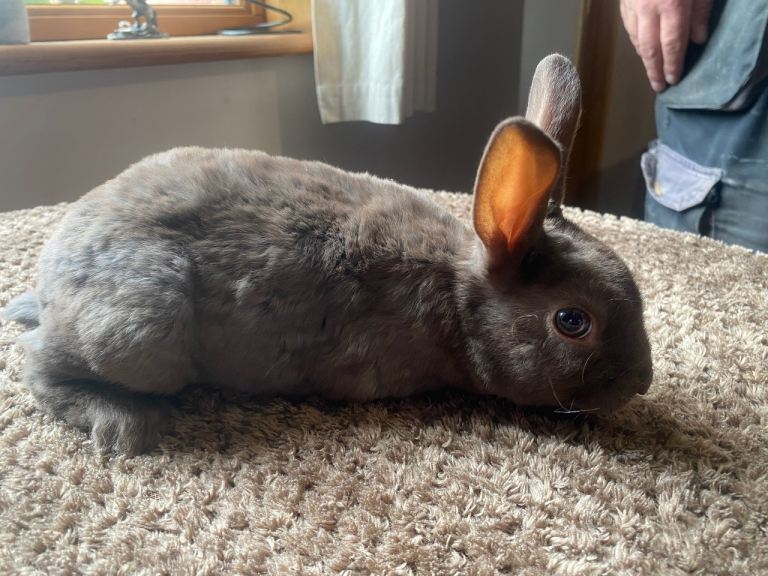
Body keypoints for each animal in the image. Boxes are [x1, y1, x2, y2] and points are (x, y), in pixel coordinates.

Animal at [3, 55, 652, 455]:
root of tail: (49, 282)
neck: (456, 294)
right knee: (40, 365)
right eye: (572, 321)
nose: (642, 382)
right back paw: (124, 426)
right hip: (140, 328)